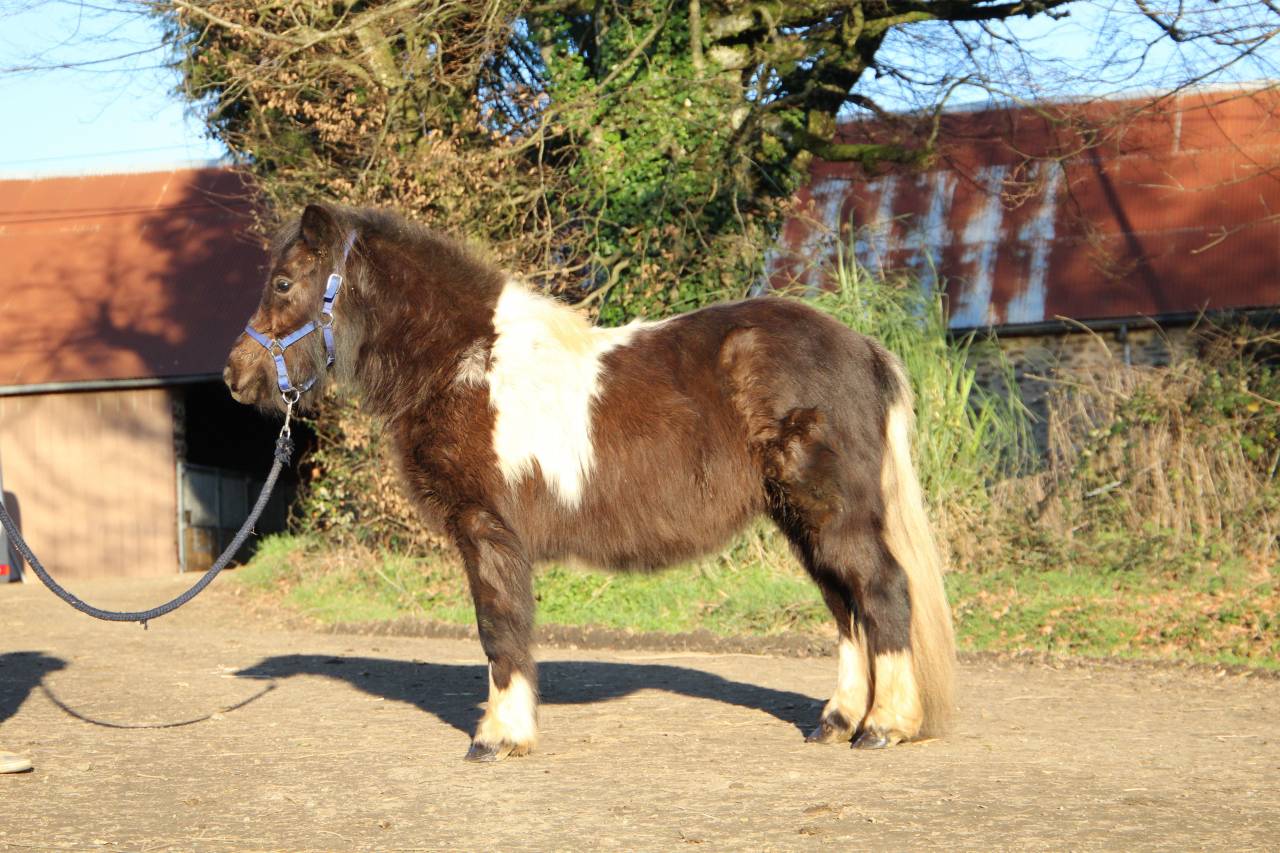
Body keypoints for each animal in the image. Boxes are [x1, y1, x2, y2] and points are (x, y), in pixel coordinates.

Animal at [224, 203, 955, 762]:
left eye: (284, 284)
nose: (235, 375)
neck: (466, 362)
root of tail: (862, 347)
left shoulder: (487, 530)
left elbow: (500, 628)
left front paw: (499, 736)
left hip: (833, 513)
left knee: (883, 592)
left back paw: (885, 725)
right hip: (801, 519)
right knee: (846, 605)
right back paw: (837, 721)